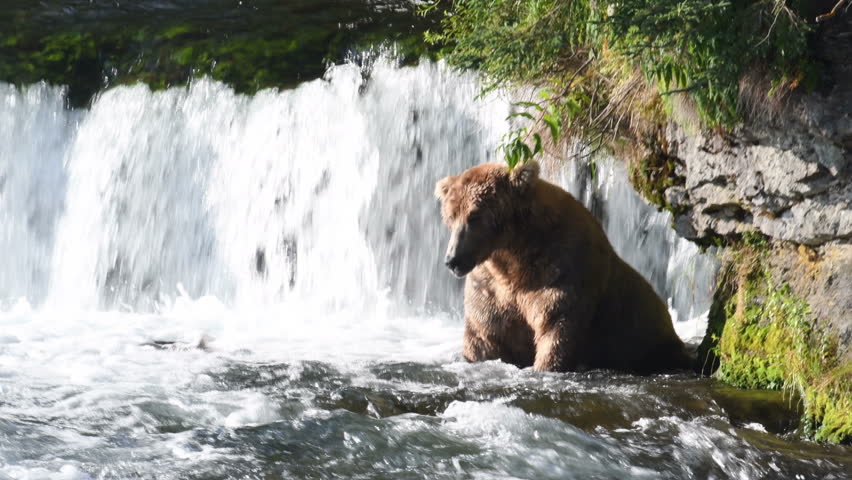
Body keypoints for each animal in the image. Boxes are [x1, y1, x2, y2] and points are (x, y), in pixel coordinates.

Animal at [434, 160, 692, 374]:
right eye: (451, 216)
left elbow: (557, 323)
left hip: (646, 337)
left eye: (474, 216)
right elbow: (486, 335)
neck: (514, 257)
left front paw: (546, 365)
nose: (452, 260)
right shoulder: (491, 286)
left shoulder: (561, 269)